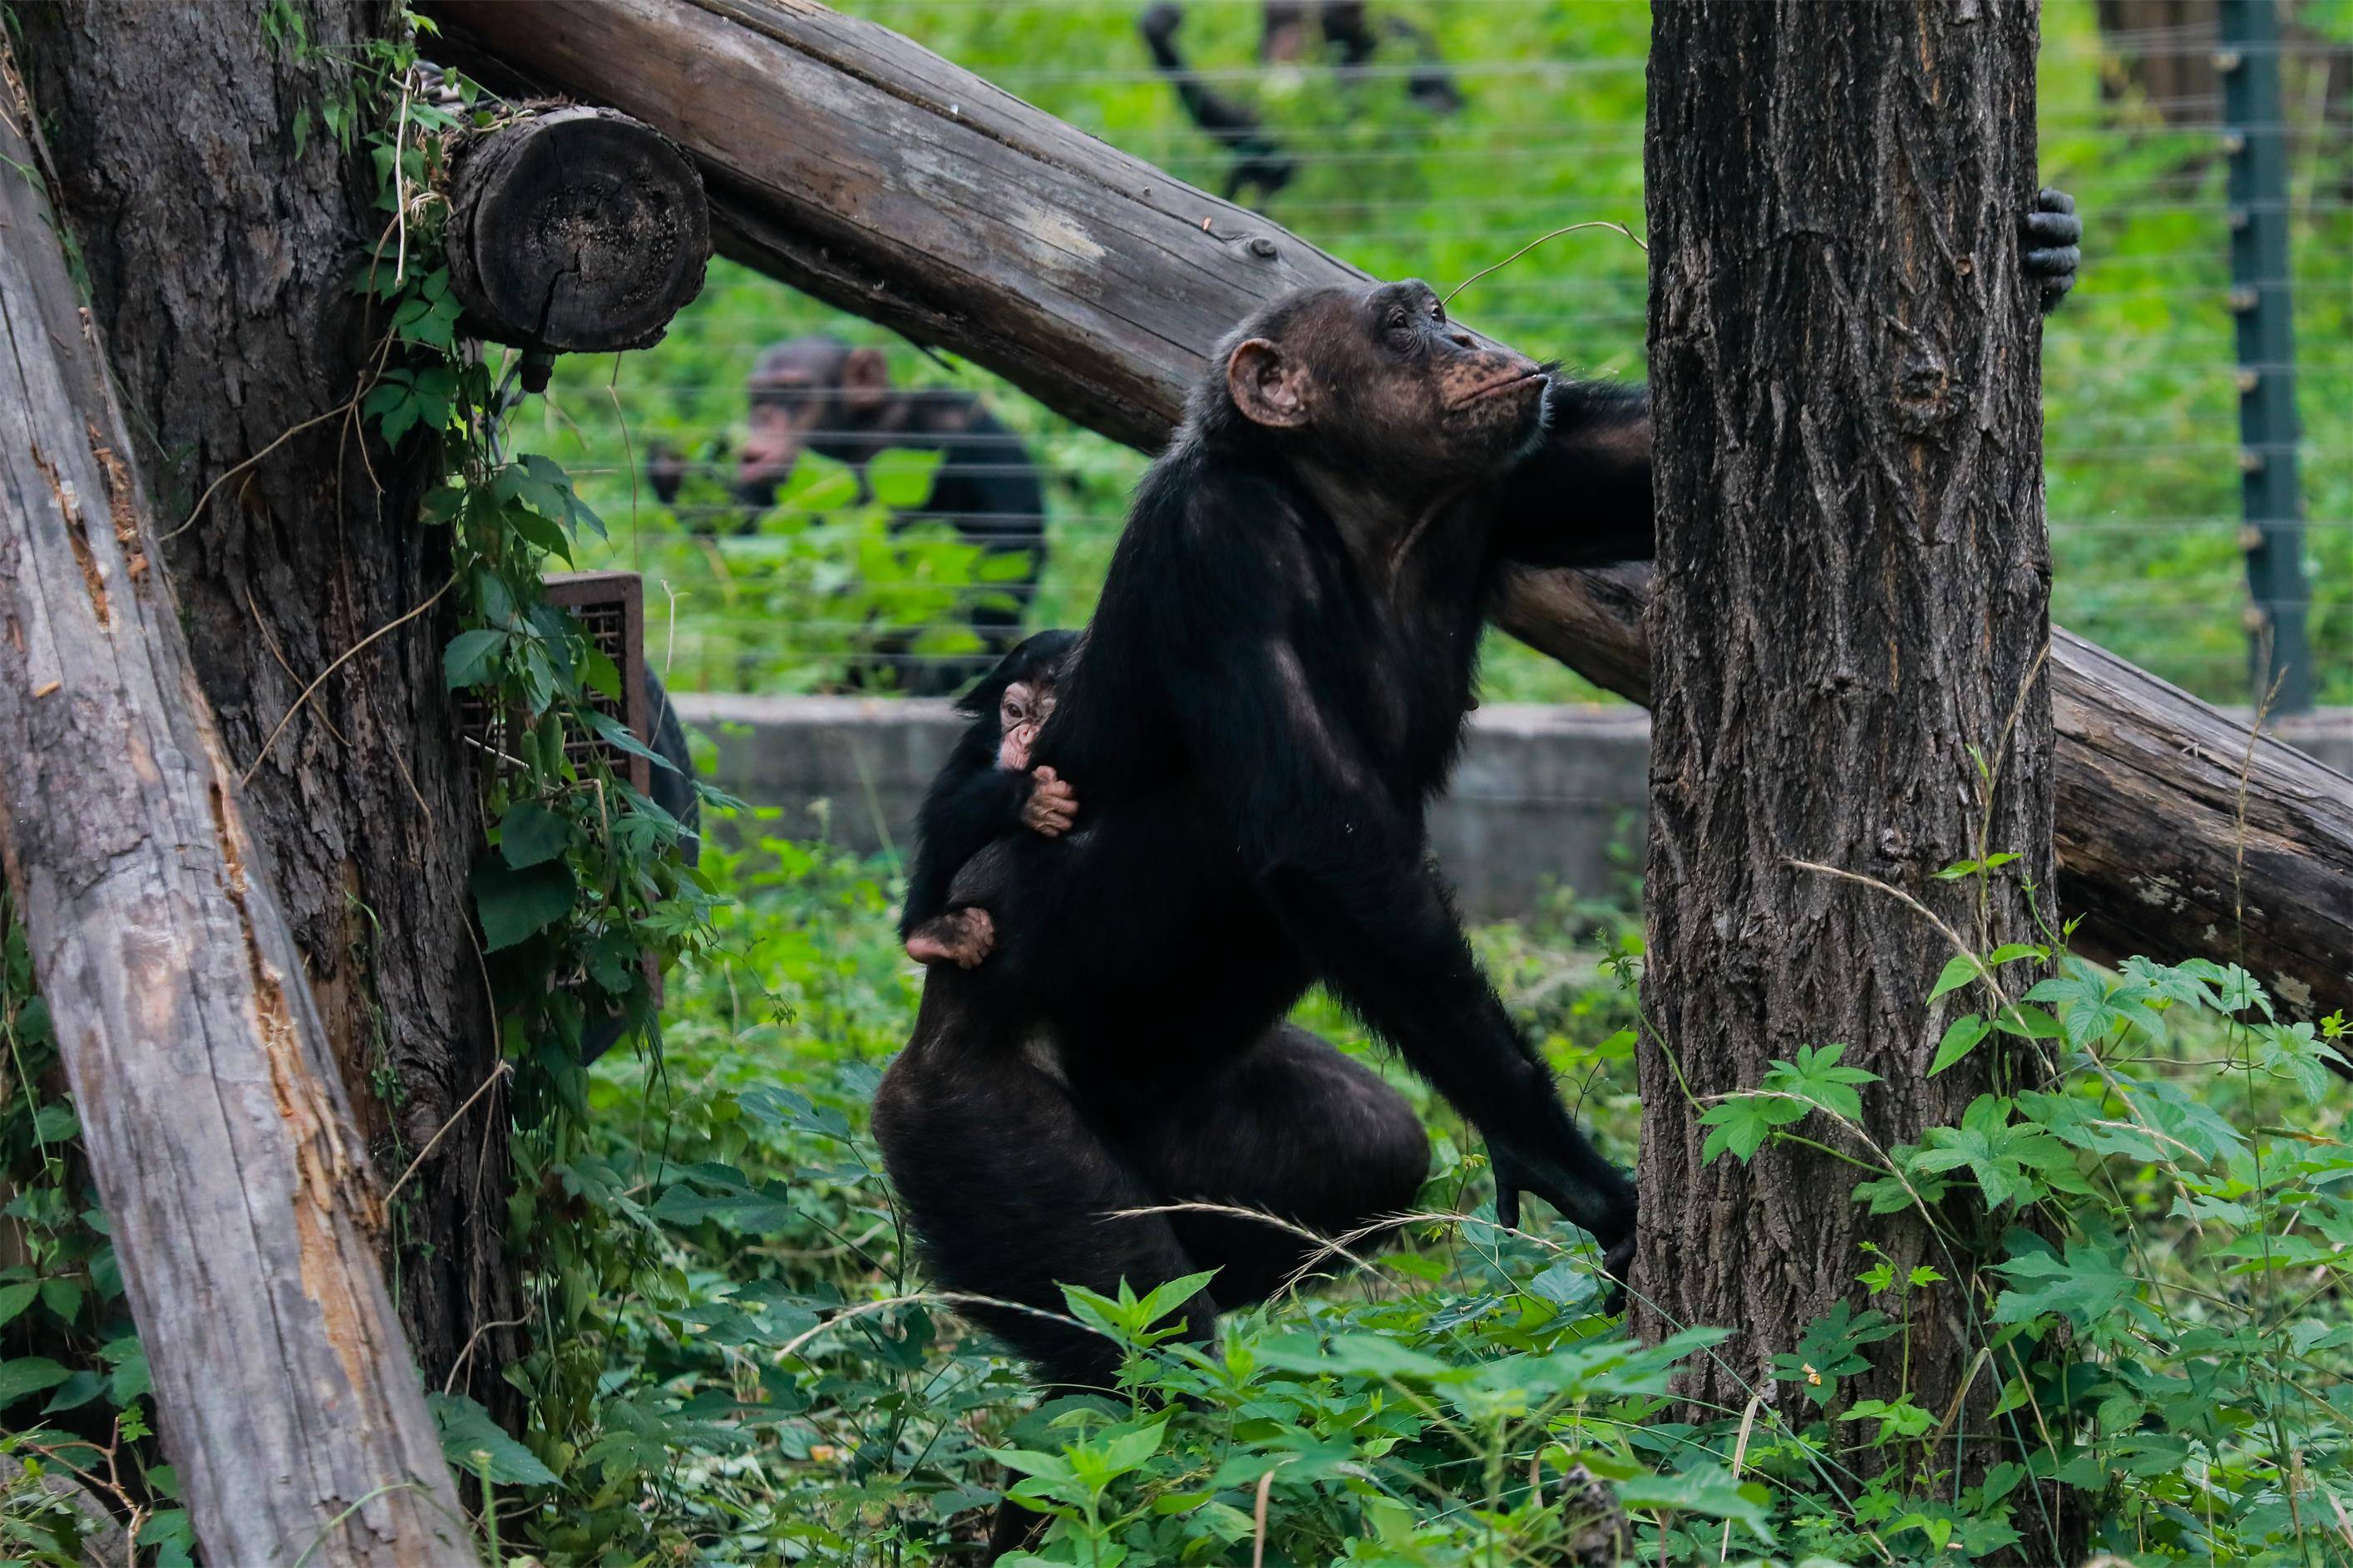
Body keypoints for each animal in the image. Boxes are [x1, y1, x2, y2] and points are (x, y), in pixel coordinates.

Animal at [644, 334, 1049, 692]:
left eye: (791, 391)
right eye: (757, 396)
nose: (763, 416)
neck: (858, 434)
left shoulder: (963, 423)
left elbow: (1003, 531)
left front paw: (939, 665)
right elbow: (751, 548)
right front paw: (674, 467)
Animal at [899, 626, 1082, 965]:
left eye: (1047, 717)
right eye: (1014, 711)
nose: (1023, 736)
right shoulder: (978, 737)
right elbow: (942, 809)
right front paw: (1031, 797)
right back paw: (935, 934)